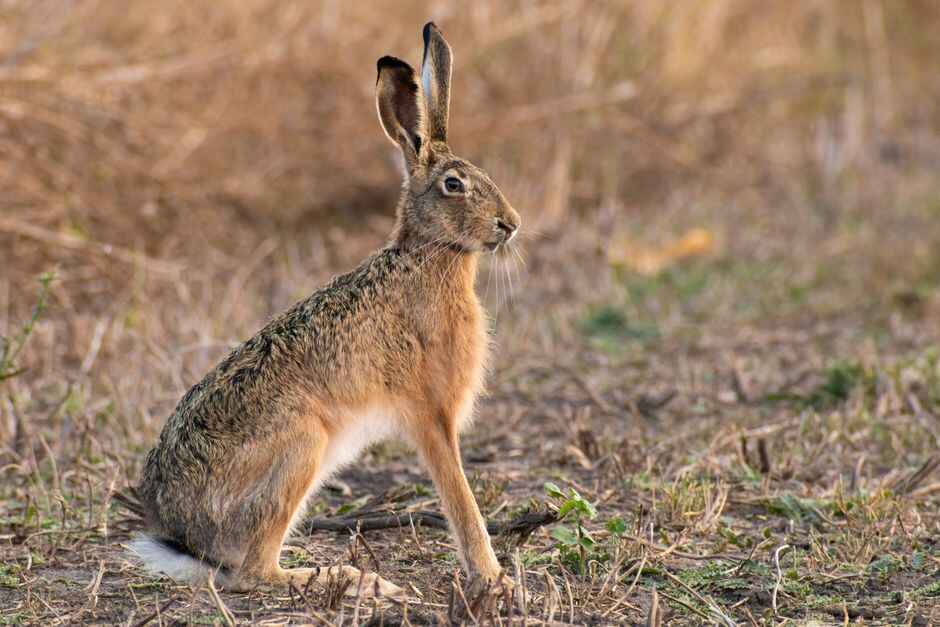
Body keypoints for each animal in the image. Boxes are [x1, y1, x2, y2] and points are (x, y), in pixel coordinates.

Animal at [122, 22, 520, 597]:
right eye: (454, 185)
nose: (511, 223)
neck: (429, 255)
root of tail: (180, 536)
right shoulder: (432, 413)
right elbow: (460, 498)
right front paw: (494, 579)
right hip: (302, 445)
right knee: (253, 573)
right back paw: (356, 580)